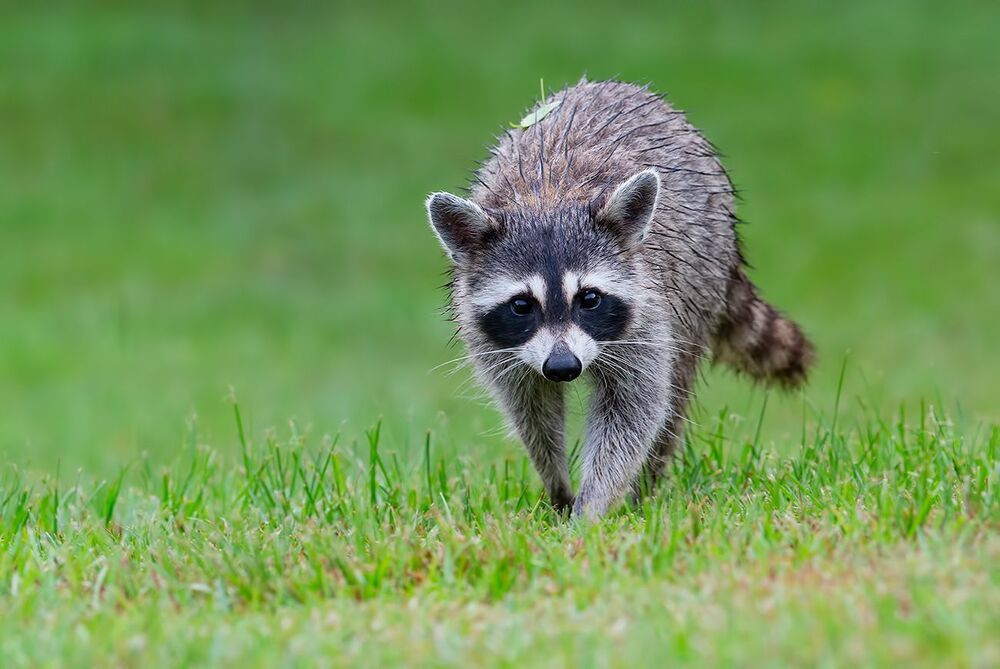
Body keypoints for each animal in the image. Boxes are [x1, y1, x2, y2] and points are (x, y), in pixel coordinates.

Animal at [425, 79, 813, 519]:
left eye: (589, 298)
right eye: (522, 305)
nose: (563, 367)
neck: (547, 201)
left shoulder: (648, 314)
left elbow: (634, 411)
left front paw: (592, 507)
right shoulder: (494, 341)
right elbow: (531, 408)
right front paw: (557, 485)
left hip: (701, 282)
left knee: (673, 396)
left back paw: (645, 490)